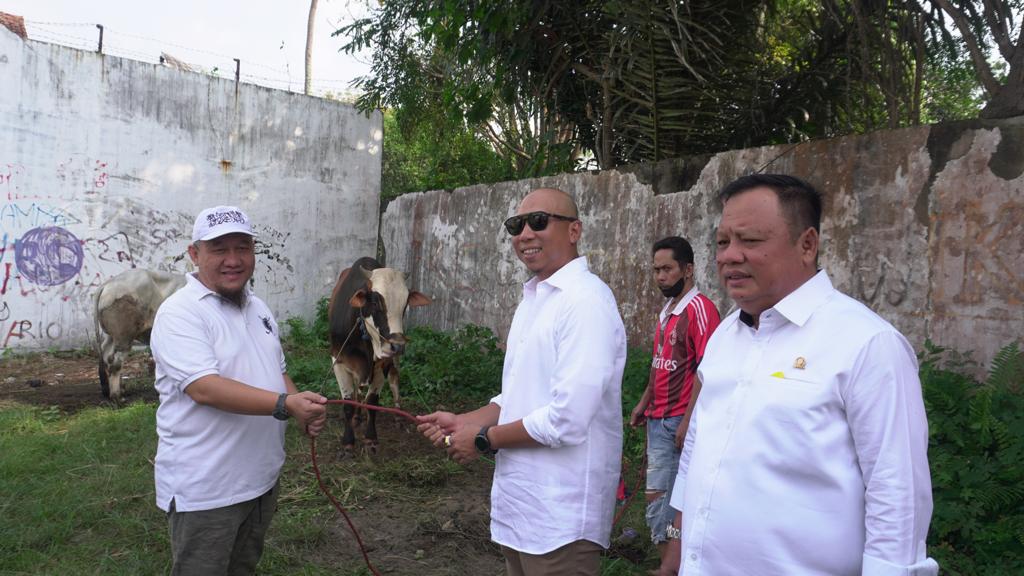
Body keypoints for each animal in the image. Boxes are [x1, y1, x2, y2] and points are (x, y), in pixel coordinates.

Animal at [94, 268, 186, 399]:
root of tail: (108, 283)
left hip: (111, 336)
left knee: (106, 355)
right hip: (124, 337)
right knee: (115, 362)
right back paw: (117, 396)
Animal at [329, 258, 430, 450]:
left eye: (405, 305)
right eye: (375, 303)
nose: (397, 346)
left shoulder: (383, 363)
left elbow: (372, 401)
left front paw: (370, 439)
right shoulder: (339, 360)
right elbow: (348, 403)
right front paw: (348, 443)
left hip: (393, 362)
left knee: (394, 380)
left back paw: (398, 415)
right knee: (358, 389)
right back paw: (357, 417)